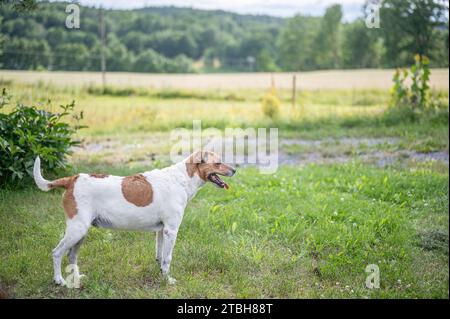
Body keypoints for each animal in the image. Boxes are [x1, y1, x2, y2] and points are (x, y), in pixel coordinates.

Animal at [32, 151, 236, 286]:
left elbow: (160, 257)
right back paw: (59, 280)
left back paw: (76, 278)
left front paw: (161, 275)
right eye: (218, 163)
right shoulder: (171, 230)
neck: (181, 179)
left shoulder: (162, 231)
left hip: (81, 232)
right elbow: (168, 258)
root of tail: (72, 179)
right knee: (57, 252)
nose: (234, 170)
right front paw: (168, 280)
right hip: (77, 230)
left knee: (71, 256)